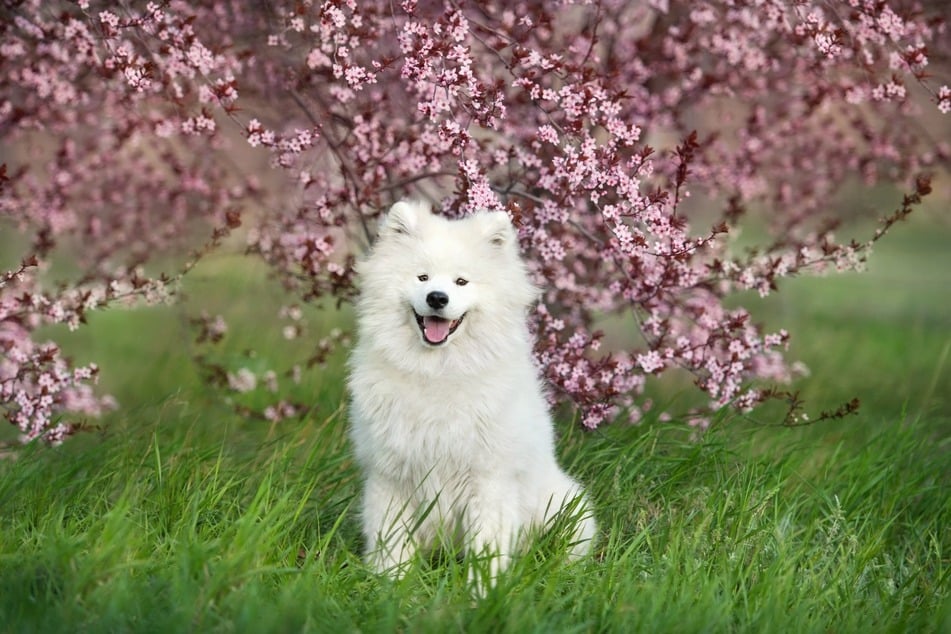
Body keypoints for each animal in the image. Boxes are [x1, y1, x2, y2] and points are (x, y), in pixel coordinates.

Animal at [346, 200, 600, 580]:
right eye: (422, 277)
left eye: (461, 281)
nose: (437, 298)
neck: (438, 371)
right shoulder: (391, 475)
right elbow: (391, 540)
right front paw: (391, 582)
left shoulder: (489, 478)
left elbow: (486, 546)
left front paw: (484, 588)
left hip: (566, 506)